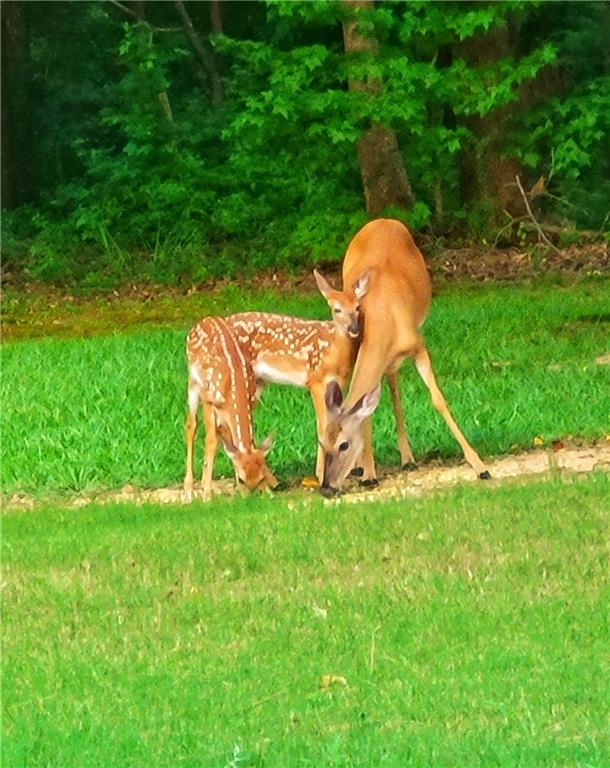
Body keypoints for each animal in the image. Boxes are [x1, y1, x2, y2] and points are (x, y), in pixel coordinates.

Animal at [182, 316, 274, 500]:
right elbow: (211, 440)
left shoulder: (252, 400)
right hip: (193, 382)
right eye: (242, 479)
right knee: (191, 424)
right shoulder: (209, 398)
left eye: (260, 478)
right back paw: (188, 490)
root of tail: (205, 319)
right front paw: (206, 494)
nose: (248, 498)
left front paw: (268, 489)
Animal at [316, 218, 486, 492]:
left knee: (394, 388)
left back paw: (407, 458)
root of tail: (382, 219)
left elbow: (438, 400)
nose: (326, 487)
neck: (386, 318)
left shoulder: (419, 346)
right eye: (322, 443)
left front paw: (479, 466)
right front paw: (368, 473)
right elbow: (366, 412)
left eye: (343, 444)